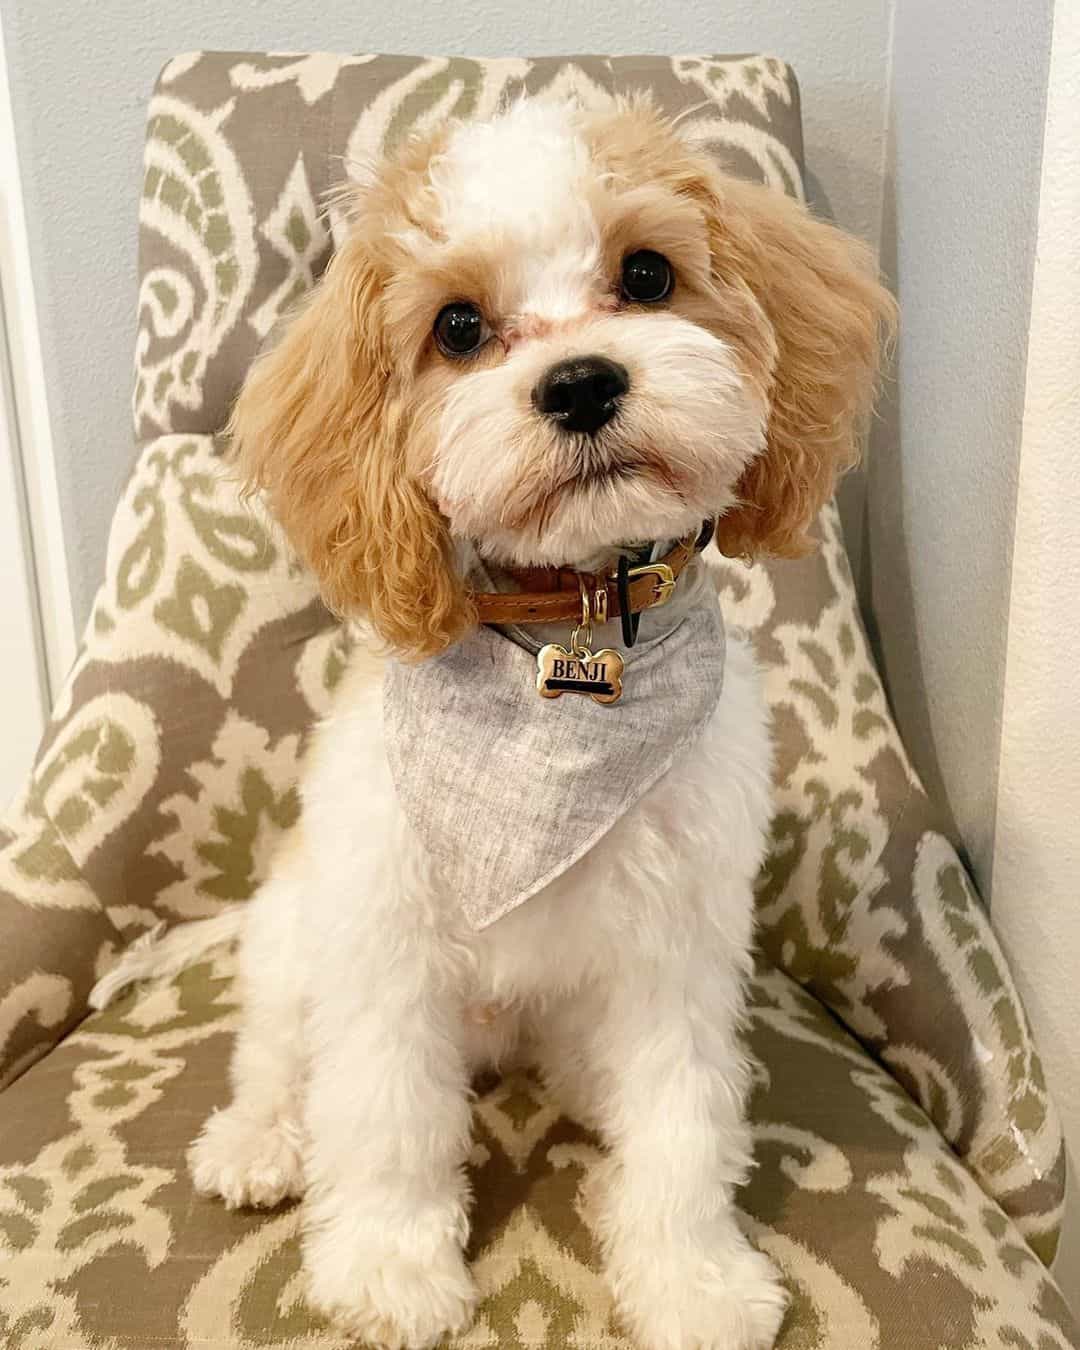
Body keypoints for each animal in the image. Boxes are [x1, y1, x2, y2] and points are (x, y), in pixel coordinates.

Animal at [97, 95, 896, 1350]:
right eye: (459, 327)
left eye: (648, 273)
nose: (580, 383)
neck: (567, 649)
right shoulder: (385, 939)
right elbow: (382, 1124)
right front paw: (386, 1265)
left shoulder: (677, 944)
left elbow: (683, 1122)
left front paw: (690, 1276)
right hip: (294, 941)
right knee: (276, 1056)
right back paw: (260, 1139)